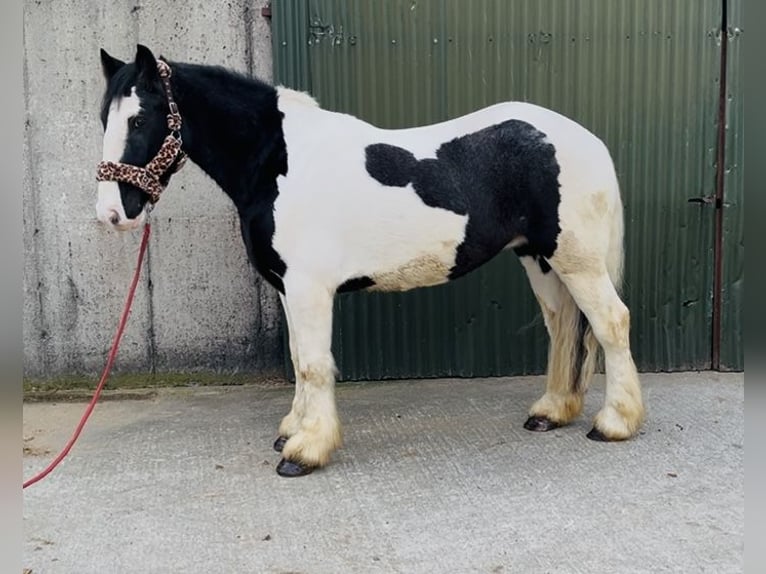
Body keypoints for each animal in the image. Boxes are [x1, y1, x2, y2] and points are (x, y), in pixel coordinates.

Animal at [95, 45, 644, 477]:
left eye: (139, 119)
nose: (111, 214)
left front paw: (305, 451)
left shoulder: (309, 288)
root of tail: (586, 140)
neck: (278, 163)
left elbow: (314, 364)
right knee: (563, 327)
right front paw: (292, 430)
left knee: (611, 322)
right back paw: (552, 412)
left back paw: (615, 423)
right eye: (105, 118)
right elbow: (299, 359)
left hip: (576, 259)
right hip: (540, 258)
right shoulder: (288, 288)